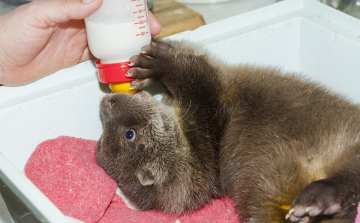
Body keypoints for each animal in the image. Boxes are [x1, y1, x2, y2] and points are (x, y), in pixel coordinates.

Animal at [95, 40, 360, 223]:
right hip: (264, 191)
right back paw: (317, 201)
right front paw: (160, 64)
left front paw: (152, 62)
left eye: (102, 138)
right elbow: (196, 76)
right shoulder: (211, 117)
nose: (107, 103)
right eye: (129, 134)